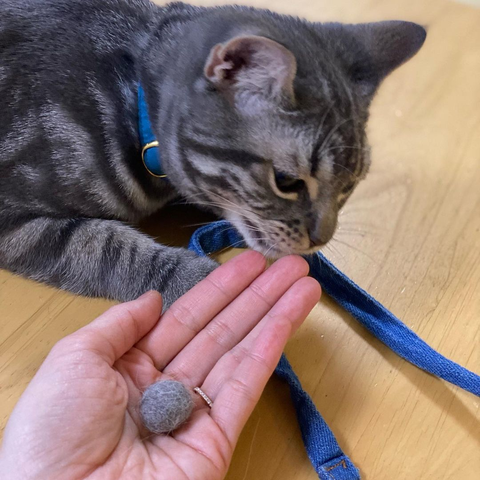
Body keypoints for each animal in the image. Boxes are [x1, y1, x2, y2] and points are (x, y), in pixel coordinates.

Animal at [0, 0, 426, 308]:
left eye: (350, 186)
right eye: (286, 182)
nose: (322, 239)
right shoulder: (13, 218)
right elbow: (106, 249)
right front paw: (197, 280)